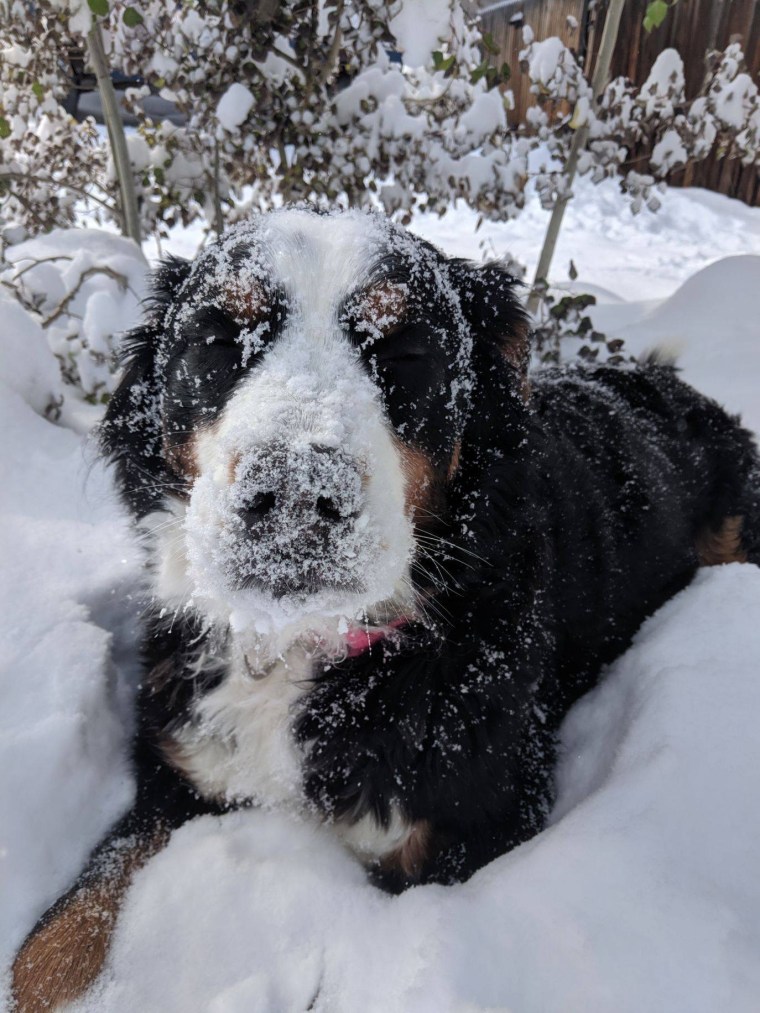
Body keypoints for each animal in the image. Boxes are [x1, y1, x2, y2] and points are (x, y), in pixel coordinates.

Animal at [12, 207, 760, 1010]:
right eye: (216, 341)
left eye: (405, 354)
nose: (295, 494)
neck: (306, 645)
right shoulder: (181, 762)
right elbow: (60, 930)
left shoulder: (476, 823)